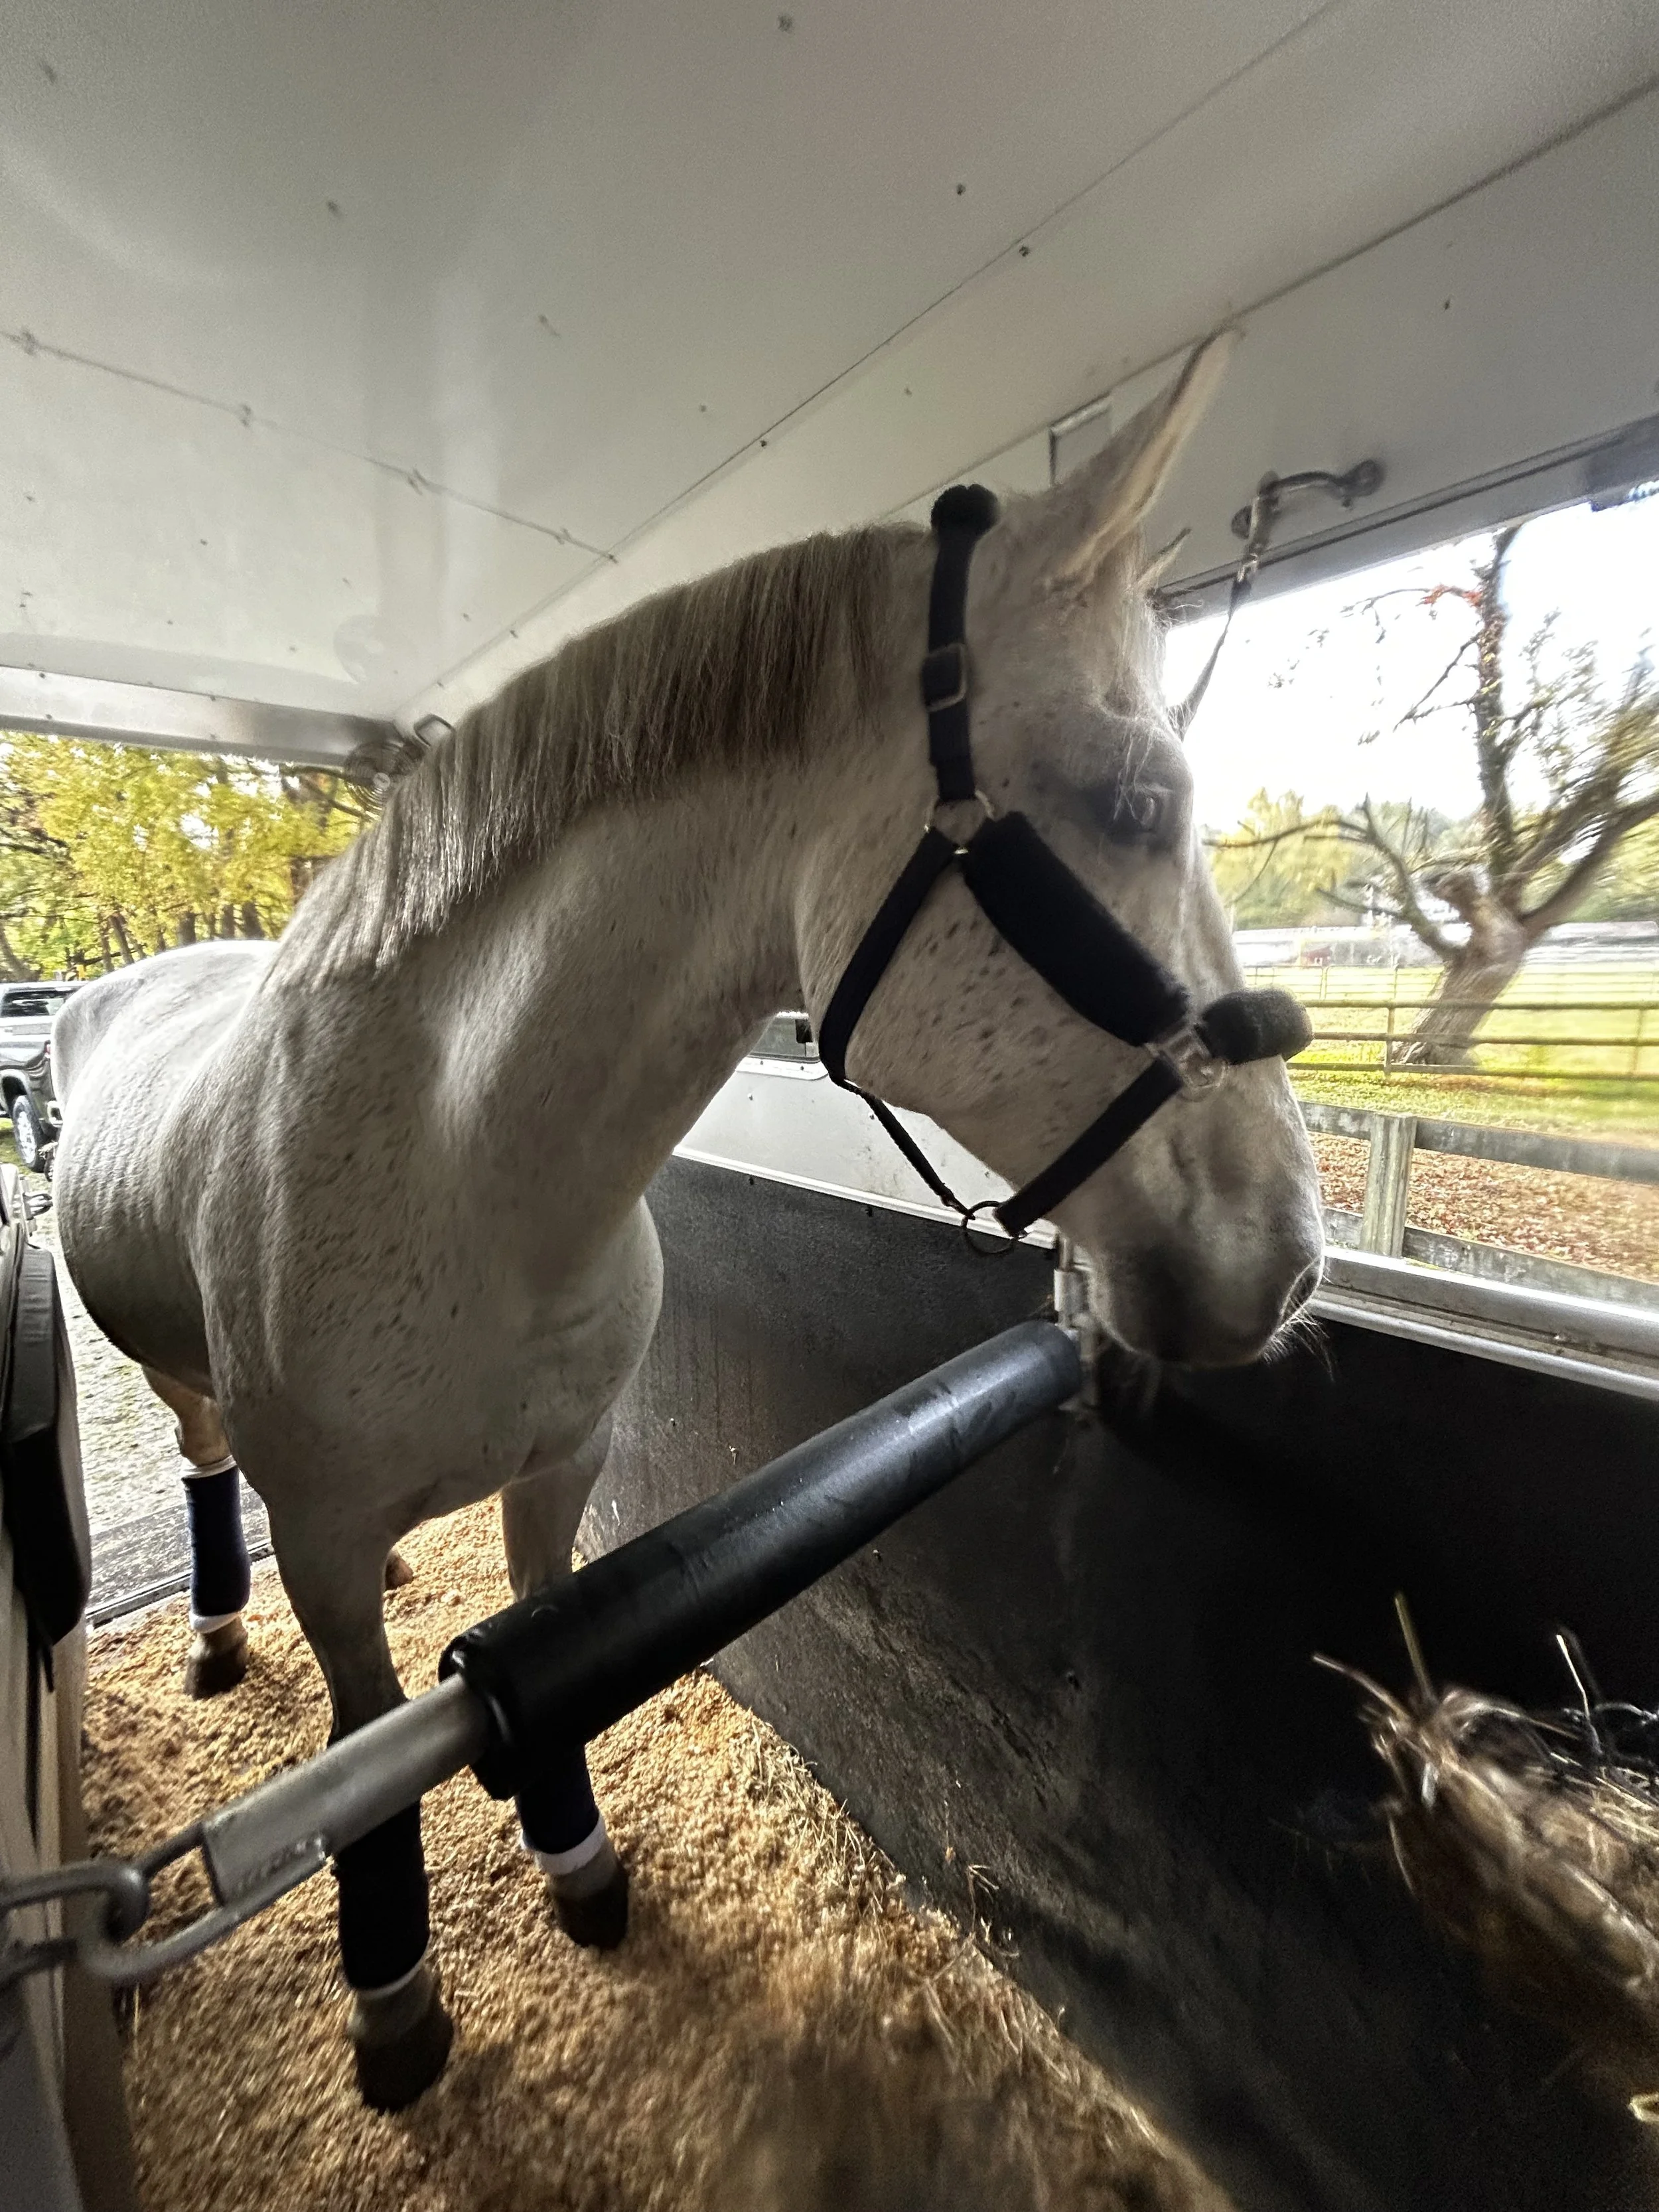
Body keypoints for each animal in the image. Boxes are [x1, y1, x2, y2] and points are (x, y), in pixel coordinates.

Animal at [52, 333, 1323, 2109]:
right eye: (1136, 799)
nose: (1282, 1253)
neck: (467, 1183)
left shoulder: (561, 1467)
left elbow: (526, 1664)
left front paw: (573, 1855)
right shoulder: (324, 1536)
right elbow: (366, 1764)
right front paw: (394, 1994)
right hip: (185, 1399)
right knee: (203, 1459)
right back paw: (220, 1632)